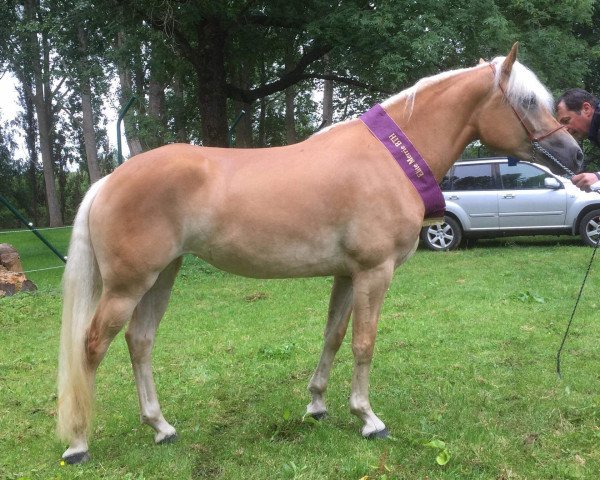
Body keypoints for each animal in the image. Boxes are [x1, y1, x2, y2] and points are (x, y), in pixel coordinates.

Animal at [56, 44, 580, 462]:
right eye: (526, 101)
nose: (574, 153)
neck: (390, 158)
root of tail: (108, 180)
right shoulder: (374, 272)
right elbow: (364, 342)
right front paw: (368, 418)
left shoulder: (348, 275)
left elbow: (333, 336)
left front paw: (317, 405)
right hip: (128, 285)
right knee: (93, 346)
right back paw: (79, 442)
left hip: (160, 277)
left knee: (140, 342)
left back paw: (161, 428)